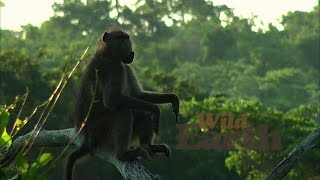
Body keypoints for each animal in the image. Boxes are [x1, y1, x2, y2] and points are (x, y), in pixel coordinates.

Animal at [64, 29, 180, 180]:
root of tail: (87, 139)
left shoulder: (125, 66)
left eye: (127, 39)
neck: (106, 54)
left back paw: (149, 146)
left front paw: (173, 98)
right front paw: (156, 109)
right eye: (122, 40)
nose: (132, 51)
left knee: (141, 111)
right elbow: (112, 100)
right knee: (123, 111)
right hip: (100, 132)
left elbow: (138, 95)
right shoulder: (114, 68)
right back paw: (123, 154)